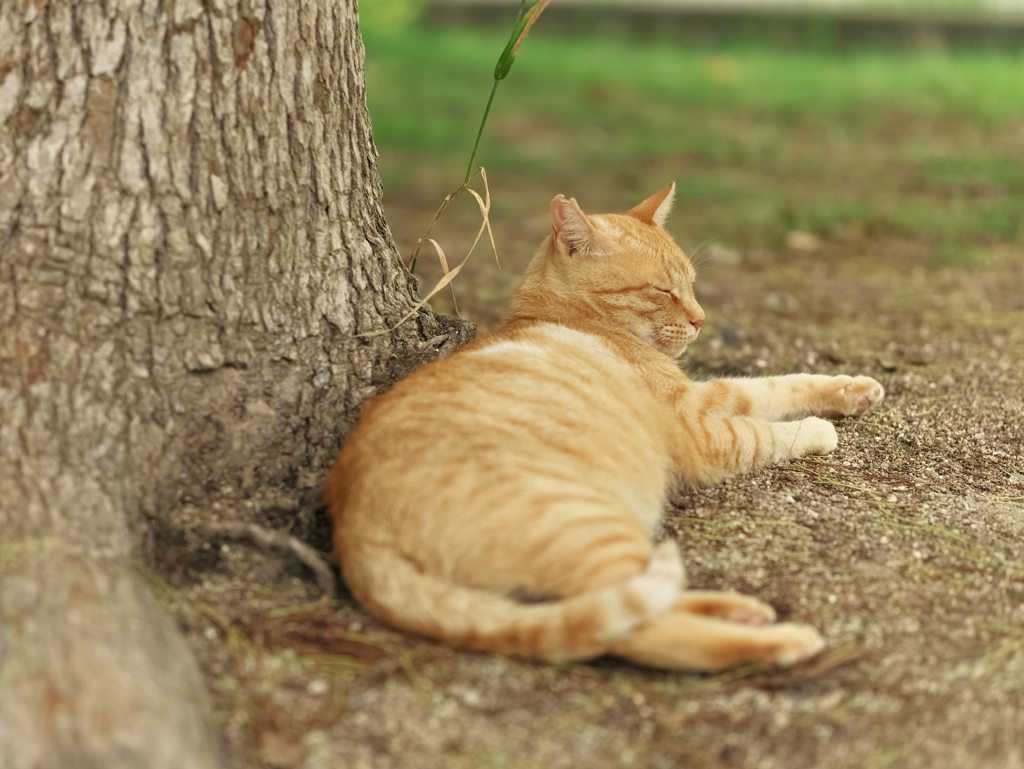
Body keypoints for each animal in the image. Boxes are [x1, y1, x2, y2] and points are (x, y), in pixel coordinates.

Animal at [325, 185, 880, 667]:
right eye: (663, 290)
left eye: (692, 285)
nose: (701, 319)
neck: (570, 316)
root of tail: (354, 525)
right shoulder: (703, 428)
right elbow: (764, 424)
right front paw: (820, 429)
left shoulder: (714, 397)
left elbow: (777, 385)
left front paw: (854, 390)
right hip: (592, 525)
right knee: (640, 630)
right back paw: (781, 640)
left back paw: (739, 608)